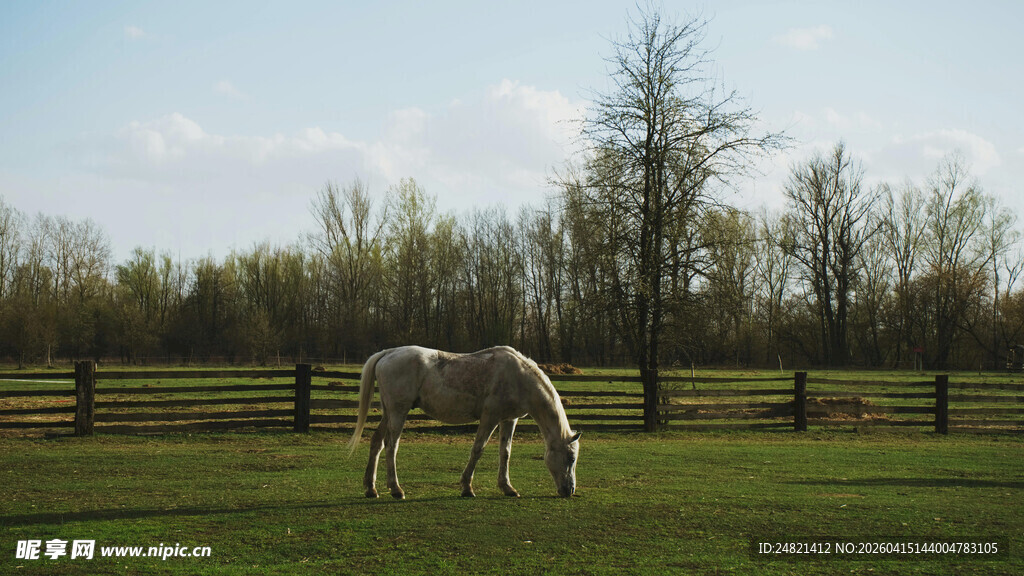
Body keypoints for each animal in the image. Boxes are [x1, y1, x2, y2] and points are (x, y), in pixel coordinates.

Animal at [347, 345, 580, 499]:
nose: (569, 490)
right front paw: (467, 487)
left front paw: (507, 488)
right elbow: (478, 449)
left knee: (376, 442)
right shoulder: (490, 417)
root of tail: (388, 353)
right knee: (390, 446)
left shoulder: (508, 419)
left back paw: (371, 488)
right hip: (398, 411)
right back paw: (396, 489)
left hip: (388, 412)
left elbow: (505, 452)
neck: (519, 376)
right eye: (571, 458)